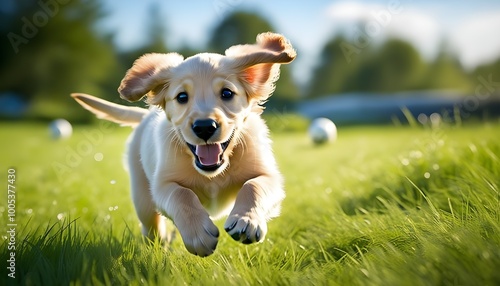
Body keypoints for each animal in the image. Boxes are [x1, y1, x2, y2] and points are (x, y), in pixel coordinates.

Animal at [72, 31, 294, 256]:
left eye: (227, 93)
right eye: (181, 97)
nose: (204, 127)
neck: (212, 174)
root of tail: (145, 116)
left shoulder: (269, 175)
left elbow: (254, 186)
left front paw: (246, 221)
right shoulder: (162, 184)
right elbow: (181, 195)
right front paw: (198, 235)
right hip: (142, 196)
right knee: (151, 227)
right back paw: (160, 244)